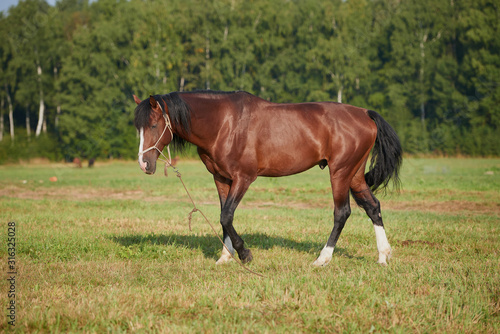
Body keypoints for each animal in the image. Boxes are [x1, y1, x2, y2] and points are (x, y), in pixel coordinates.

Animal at [133, 90, 402, 266]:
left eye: (154, 125)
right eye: (138, 127)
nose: (144, 164)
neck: (224, 124)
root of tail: (365, 114)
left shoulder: (244, 178)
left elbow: (226, 215)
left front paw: (244, 254)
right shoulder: (221, 178)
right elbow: (223, 218)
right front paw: (225, 256)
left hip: (340, 172)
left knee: (342, 212)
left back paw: (322, 258)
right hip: (354, 174)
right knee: (373, 207)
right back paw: (383, 256)